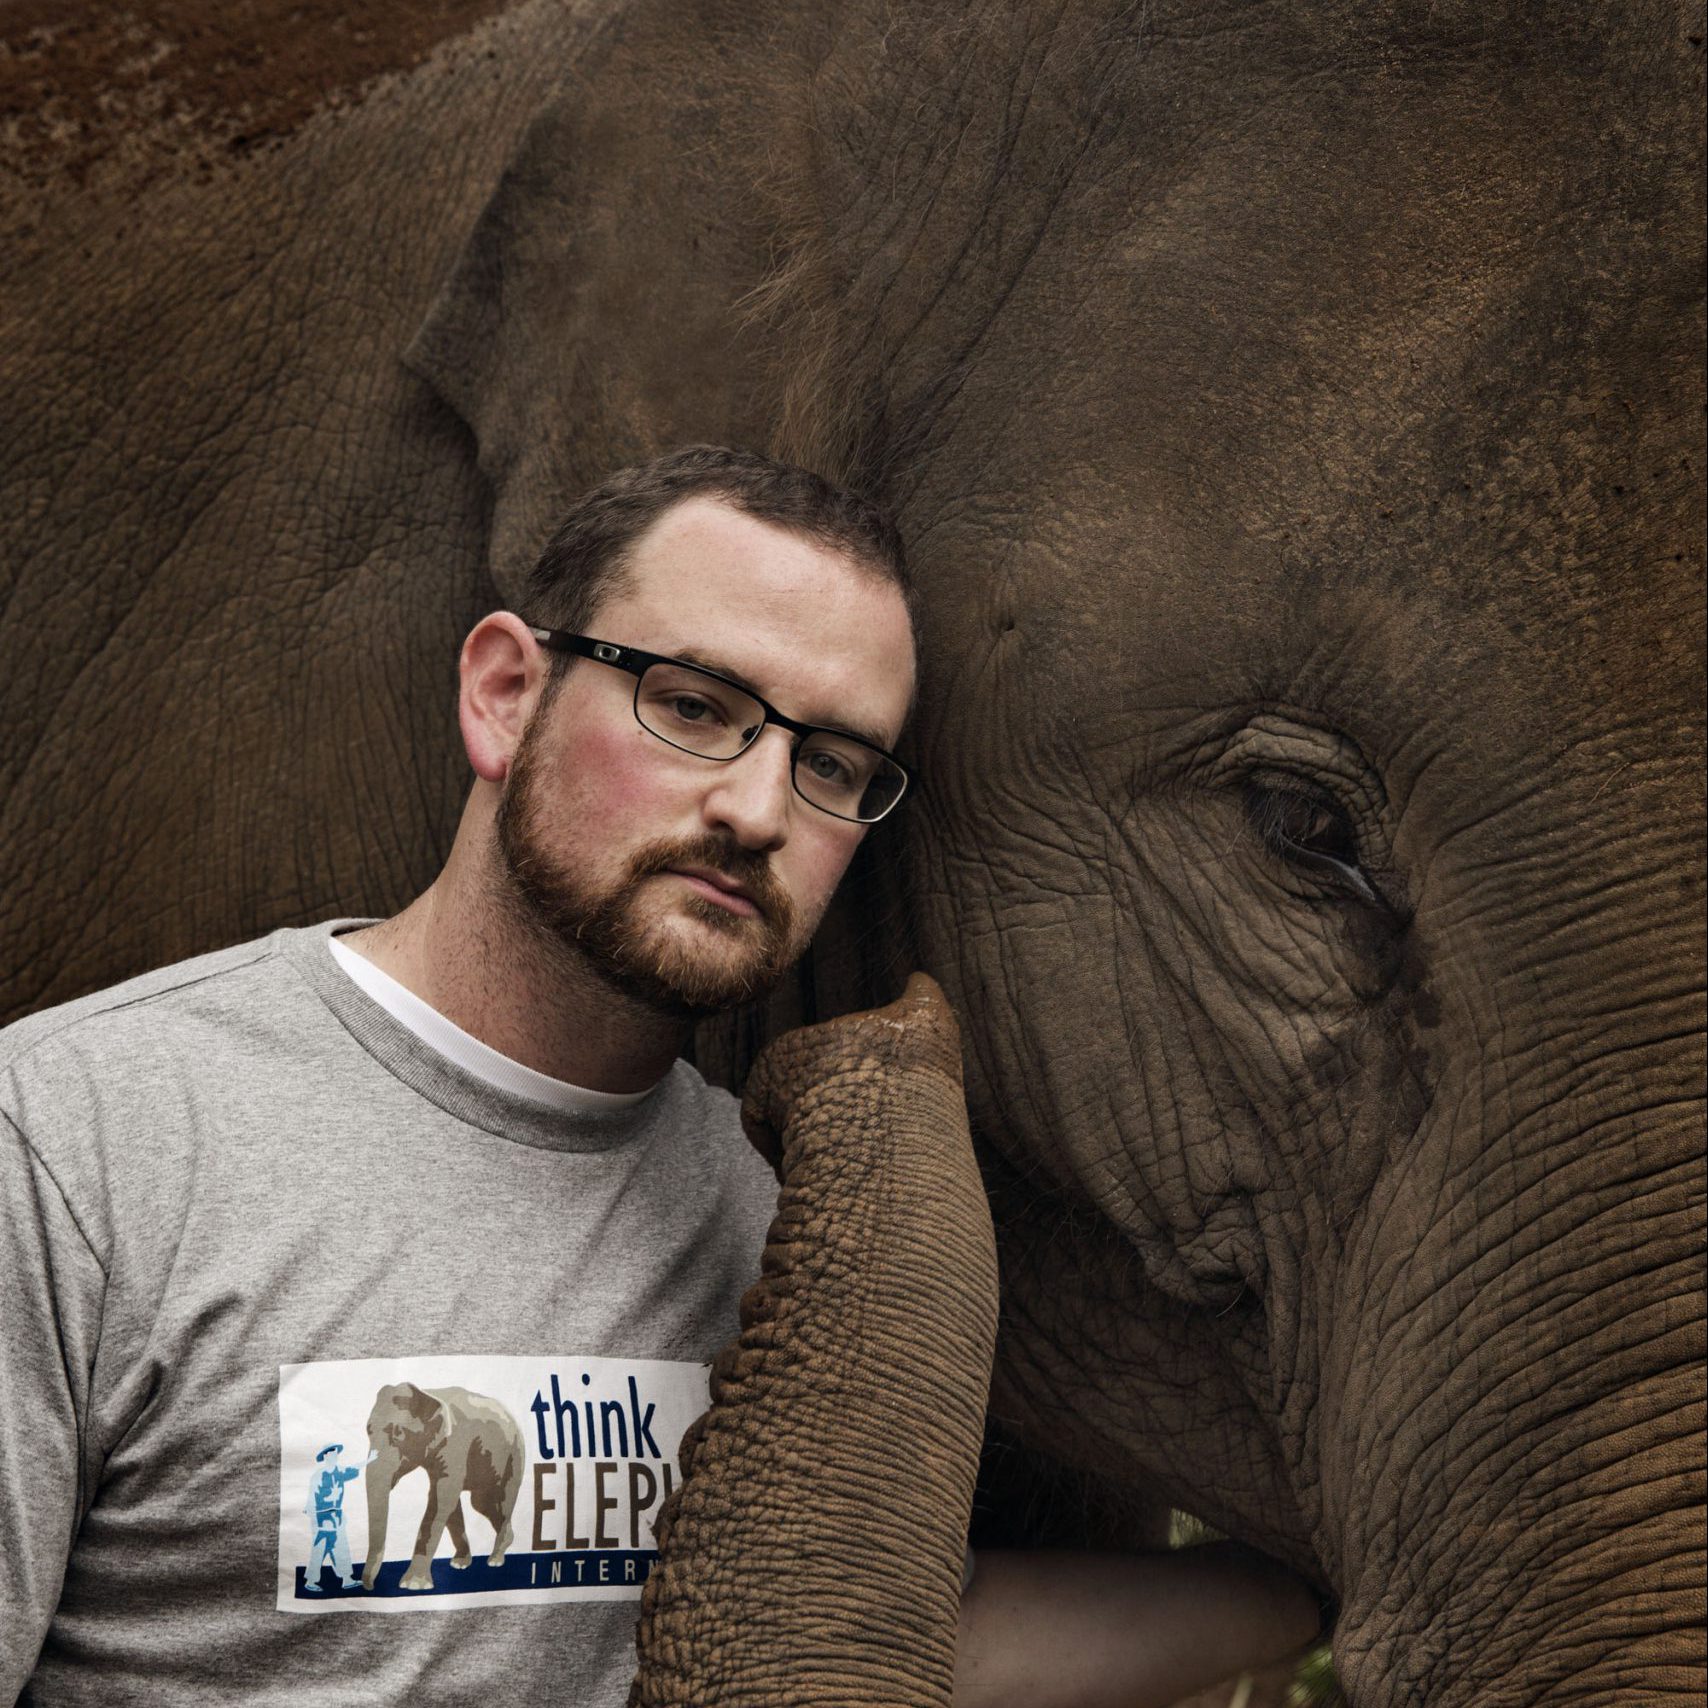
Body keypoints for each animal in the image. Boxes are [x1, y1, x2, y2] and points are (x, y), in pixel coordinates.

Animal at [368, 1380, 529, 1591]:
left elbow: (442, 1497)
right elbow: (445, 1499)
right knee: (482, 1503)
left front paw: (413, 1585)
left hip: (515, 1455)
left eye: (398, 1434)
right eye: (368, 1431)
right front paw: (460, 1564)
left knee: (504, 1498)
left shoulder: (456, 1444)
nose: (370, 1587)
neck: (428, 1393)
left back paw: (496, 1559)